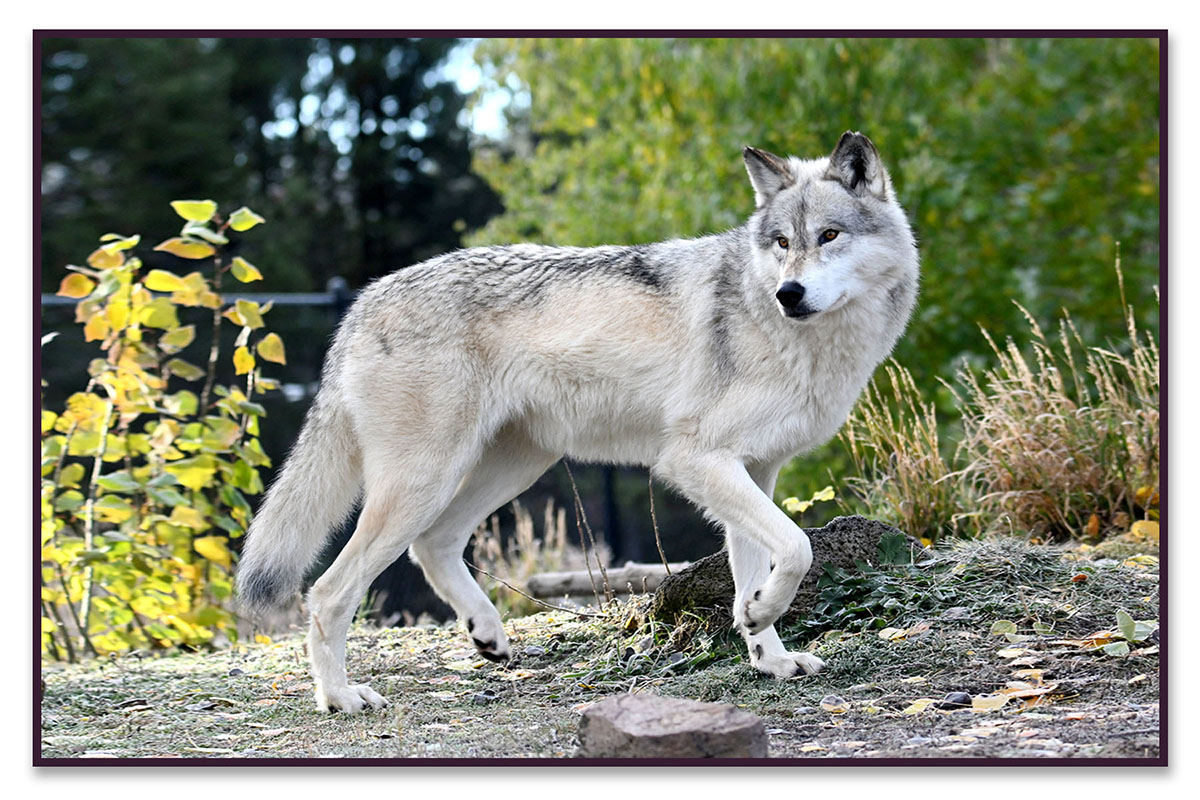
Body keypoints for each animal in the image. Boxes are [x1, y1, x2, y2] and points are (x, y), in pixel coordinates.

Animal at [237, 131, 919, 712]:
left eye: (828, 235)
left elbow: (762, 564)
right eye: (781, 243)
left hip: (505, 469)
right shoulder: (695, 460)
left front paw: (766, 650)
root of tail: (360, 302)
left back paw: (485, 634)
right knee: (329, 591)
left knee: (432, 545)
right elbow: (798, 547)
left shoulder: (755, 469)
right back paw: (340, 698)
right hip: (424, 481)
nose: (788, 294)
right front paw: (758, 620)